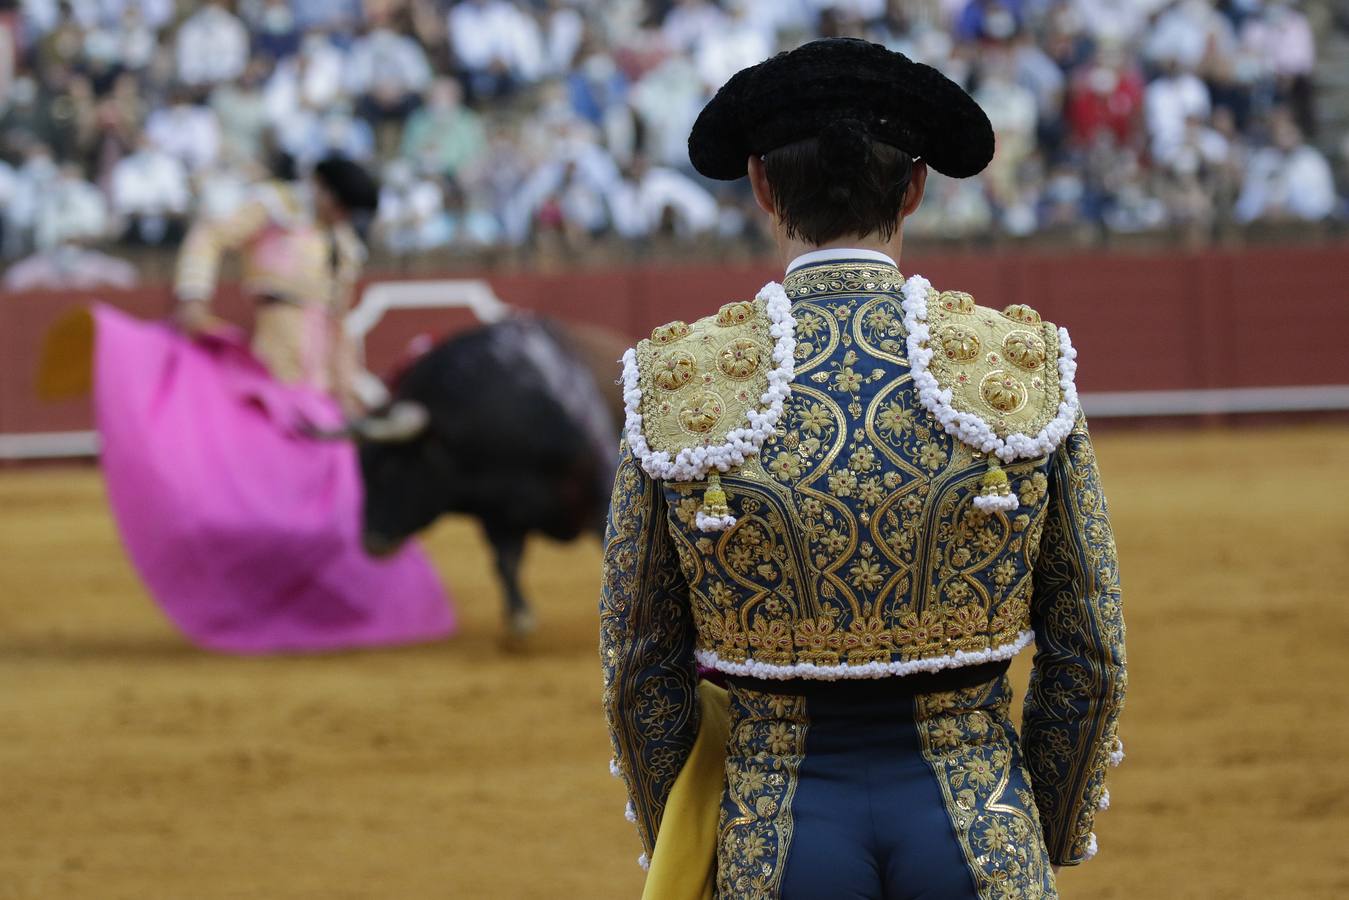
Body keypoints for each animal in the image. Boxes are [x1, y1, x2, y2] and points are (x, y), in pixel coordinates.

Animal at [337, 319, 631, 636]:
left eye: (389, 468)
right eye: (362, 471)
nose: (371, 541)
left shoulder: (600, 485)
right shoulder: (497, 515)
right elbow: (505, 562)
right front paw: (519, 617)